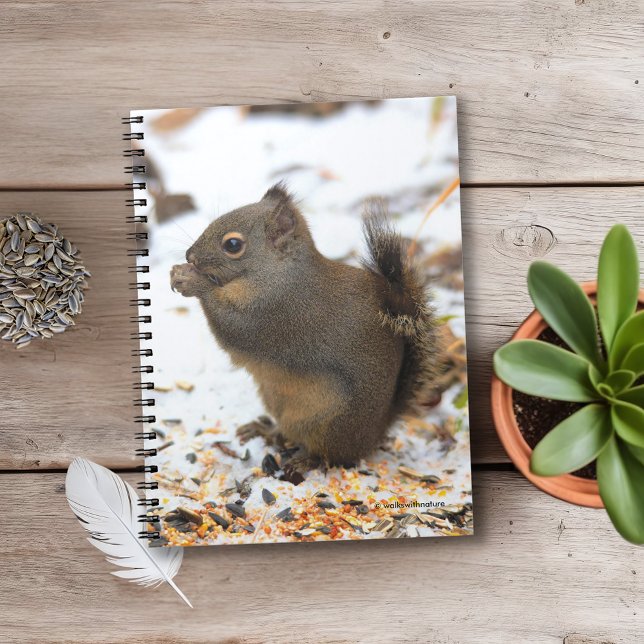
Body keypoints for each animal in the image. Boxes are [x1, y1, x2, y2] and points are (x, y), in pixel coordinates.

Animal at [170, 184, 438, 471]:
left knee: (330, 455)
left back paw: (306, 460)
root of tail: (376, 433)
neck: (278, 271)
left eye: (233, 245)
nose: (189, 256)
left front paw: (192, 280)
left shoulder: (270, 310)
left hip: (326, 422)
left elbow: (231, 323)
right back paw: (265, 431)